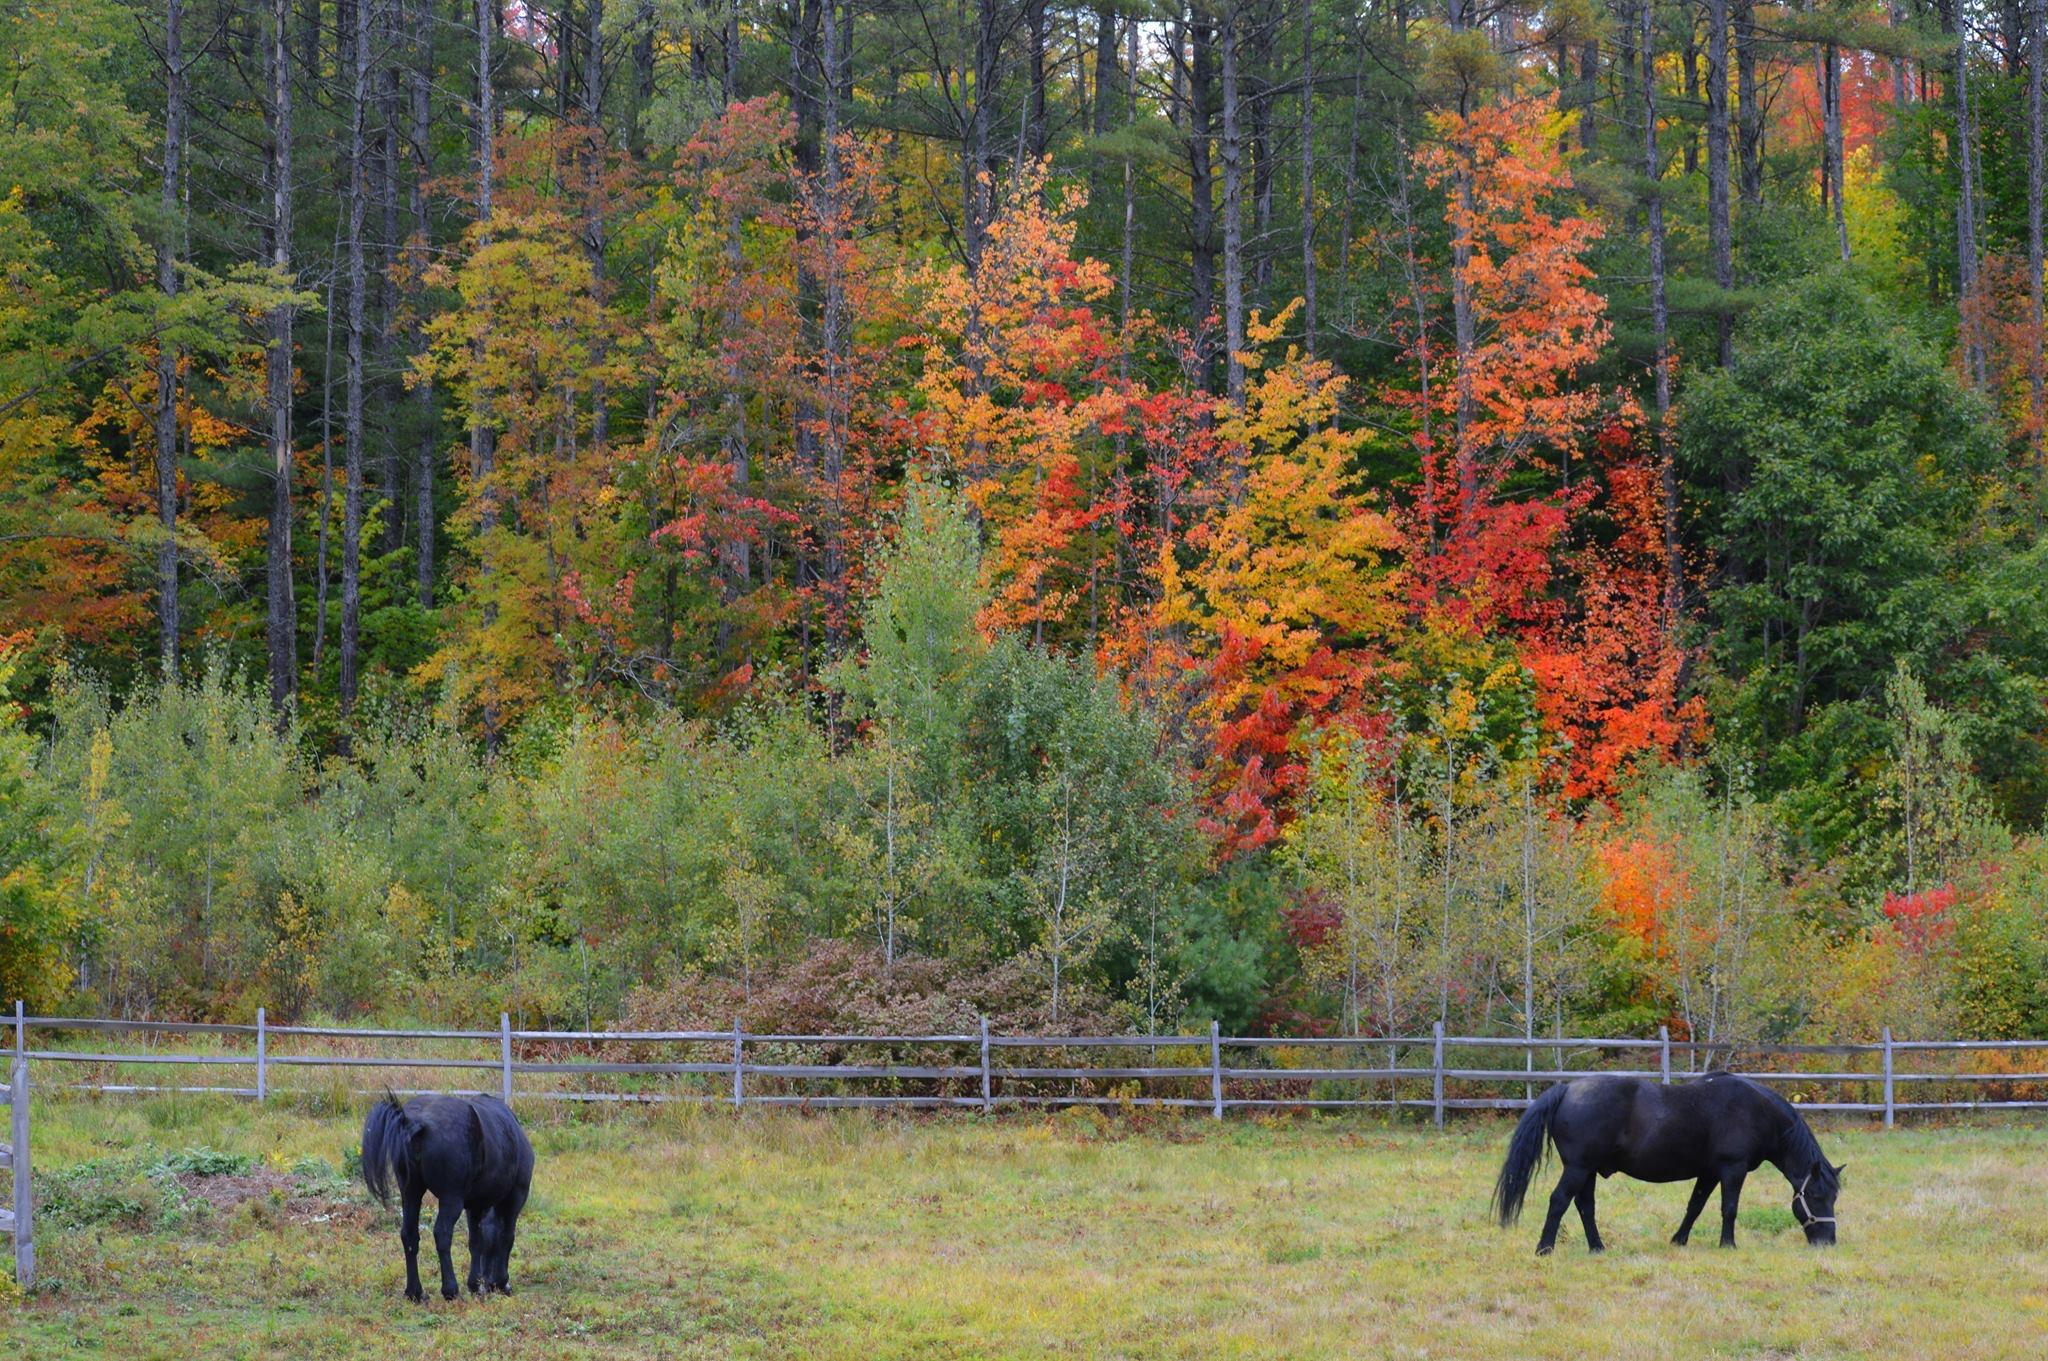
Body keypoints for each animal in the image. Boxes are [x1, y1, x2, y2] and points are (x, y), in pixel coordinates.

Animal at [361, 1093, 535, 1301]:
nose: (489, 1284)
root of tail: (415, 1122)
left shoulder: (475, 1206)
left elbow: (477, 1241)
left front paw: (475, 1284)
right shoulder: (514, 1198)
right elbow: (506, 1237)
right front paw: (502, 1282)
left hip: (411, 1193)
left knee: (409, 1235)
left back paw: (415, 1292)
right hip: (451, 1199)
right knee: (442, 1234)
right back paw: (450, 1289)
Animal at [1491, 1071, 1843, 1255]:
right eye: (1815, 1196)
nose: (1828, 1242)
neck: (1756, 1110)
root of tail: (1567, 1089)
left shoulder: (1709, 1173)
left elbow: (1695, 1206)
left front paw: (1679, 1240)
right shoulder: (1733, 1169)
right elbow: (1729, 1208)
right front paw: (1728, 1244)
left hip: (1587, 1171)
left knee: (1584, 1207)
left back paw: (1597, 1247)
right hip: (1578, 1168)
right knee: (1559, 1201)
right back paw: (1544, 1248)